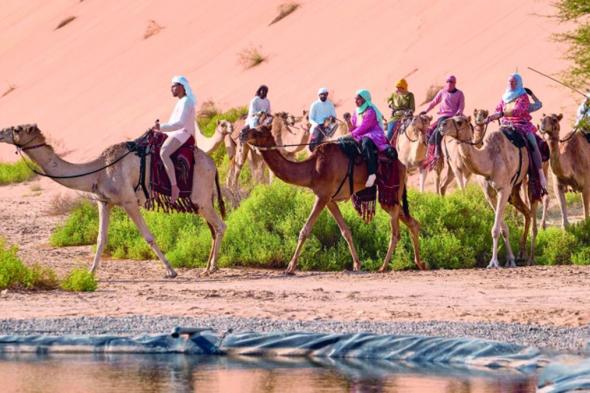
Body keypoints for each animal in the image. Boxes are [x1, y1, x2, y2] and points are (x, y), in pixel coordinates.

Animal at [0, 124, 227, 274]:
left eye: (17, 129)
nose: (1, 132)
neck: (100, 171)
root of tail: (213, 164)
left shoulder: (128, 201)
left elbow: (148, 236)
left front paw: (171, 270)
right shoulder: (104, 202)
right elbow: (101, 238)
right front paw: (91, 272)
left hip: (201, 198)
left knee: (220, 226)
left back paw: (212, 268)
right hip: (201, 201)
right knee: (214, 229)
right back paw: (208, 266)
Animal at [238, 115, 428, 272]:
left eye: (259, 130)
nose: (242, 133)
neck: (312, 169)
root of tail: (402, 164)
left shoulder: (321, 196)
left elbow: (305, 229)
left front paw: (290, 267)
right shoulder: (329, 199)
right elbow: (345, 230)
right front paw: (357, 264)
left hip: (390, 191)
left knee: (396, 228)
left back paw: (383, 266)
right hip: (391, 195)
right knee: (412, 222)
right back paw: (419, 263)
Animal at [440, 113, 540, 266]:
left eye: (459, 122)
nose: (441, 125)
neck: (489, 162)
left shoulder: (503, 189)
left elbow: (495, 228)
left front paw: (493, 262)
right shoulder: (489, 194)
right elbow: (503, 228)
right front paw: (510, 259)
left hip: (534, 176)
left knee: (533, 208)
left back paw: (531, 258)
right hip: (514, 191)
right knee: (527, 213)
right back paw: (522, 253)